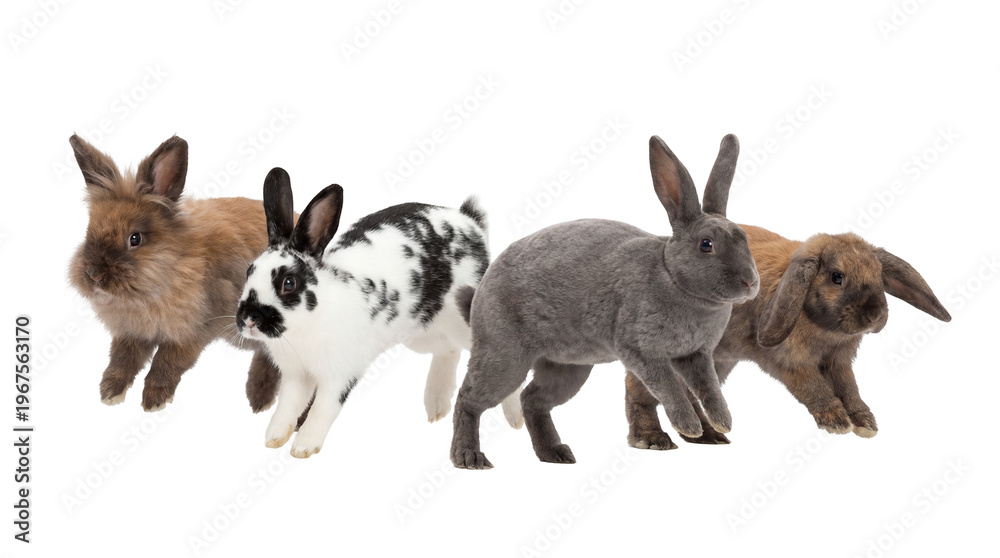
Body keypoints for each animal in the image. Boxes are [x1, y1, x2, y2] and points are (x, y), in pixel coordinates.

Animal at [67, 134, 281, 412]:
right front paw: (110, 392)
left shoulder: (193, 332)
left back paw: (260, 396)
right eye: (89, 232)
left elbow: (166, 362)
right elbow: (121, 359)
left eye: (135, 239)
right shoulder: (130, 333)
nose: (94, 275)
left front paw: (154, 399)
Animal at [235, 168, 522, 459]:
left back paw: (515, 417)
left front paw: (304, 447)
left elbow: (322, 409)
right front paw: (274, 438)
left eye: (288, 283)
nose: (249, 319)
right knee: (448, 350)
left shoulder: (339, 376)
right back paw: (436, 404)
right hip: (423, 332)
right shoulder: (296, 376)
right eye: (249, 271)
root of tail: (470, 221)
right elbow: (288, 405)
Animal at [449, 134, 760, 469]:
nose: (750, 282)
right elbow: (669, 387)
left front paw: (723, 423)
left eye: (744, 239)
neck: (673, 276)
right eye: (706, 244)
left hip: (568, 368)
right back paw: (469, 457)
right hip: (505, 357)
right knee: (468, 399)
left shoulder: (696, 355)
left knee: (531, 399)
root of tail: (480, 293)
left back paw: (555, 454)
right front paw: (688, 426)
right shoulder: (641, 350)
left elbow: (709, 388)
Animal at [624, 225, 952, 449]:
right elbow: (815, 388)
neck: (824, 328)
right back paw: (651, 439)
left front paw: (865, 423)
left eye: (878, 274)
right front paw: (837, 422)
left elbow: (849, 389)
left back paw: (708, 436)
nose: (874, 315)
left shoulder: (840, 363)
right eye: (836, 277)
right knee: (638, 392)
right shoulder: (792, 363)